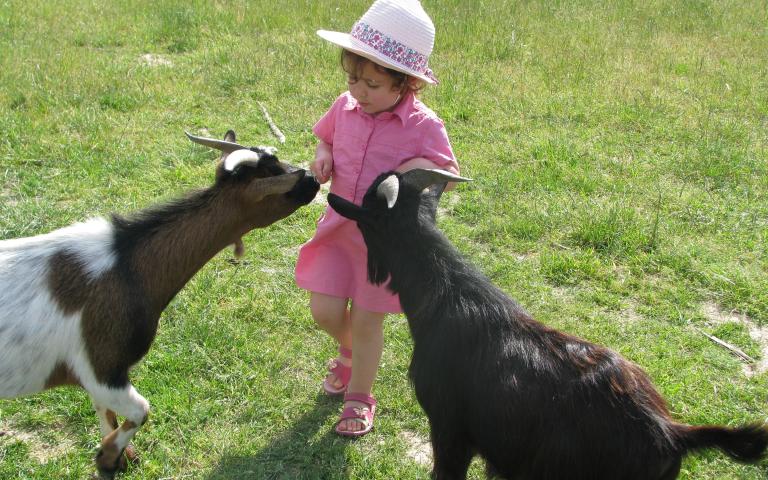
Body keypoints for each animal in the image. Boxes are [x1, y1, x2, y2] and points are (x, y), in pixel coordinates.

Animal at [0, 130, 318, 476]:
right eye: (272, 174)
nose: (314, 179)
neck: (129, 266)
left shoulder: (101, 378)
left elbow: (105, 412)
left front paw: (120, 459)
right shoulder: (101, 365)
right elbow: (141, 410)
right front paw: (107, 456)